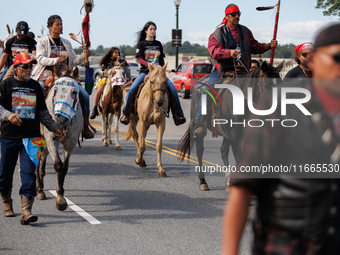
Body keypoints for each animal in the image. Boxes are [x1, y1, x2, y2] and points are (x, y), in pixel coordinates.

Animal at [35, 68, 83, 210]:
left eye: (74, 92)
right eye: (55, 91)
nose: (61, 119)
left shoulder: (71, 142)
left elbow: (64, 167)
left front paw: (61, 197)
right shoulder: (52, 139)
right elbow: (58, 165)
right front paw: (60, 200)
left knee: (43, 156)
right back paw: (39, 189)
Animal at [177, 60, 282, 190]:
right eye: (267, 85)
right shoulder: (235, 135)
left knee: (223, 151)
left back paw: (228, 180)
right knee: (200, 150)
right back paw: (203, 181)